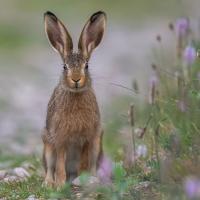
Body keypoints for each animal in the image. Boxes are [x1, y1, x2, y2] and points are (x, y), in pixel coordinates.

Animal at [41, 10, 106, 187]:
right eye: (64, 67)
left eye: (87, 66)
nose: (76, 79)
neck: (76, 94)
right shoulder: (60, 139)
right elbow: (59, 164)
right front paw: (59, 184)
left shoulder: (87, 138)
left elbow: (84, 162)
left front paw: (83, 179)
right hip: (47, 145)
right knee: (50, 167)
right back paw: (49, 183)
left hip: (97, 145)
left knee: (92, 164)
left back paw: (93, 179)